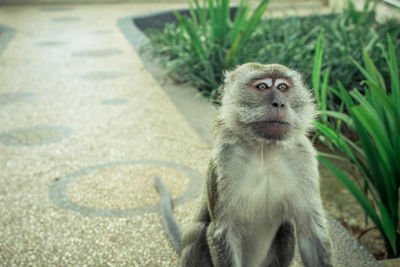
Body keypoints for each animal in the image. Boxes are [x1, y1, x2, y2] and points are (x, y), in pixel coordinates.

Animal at [155, 63, 332, 267]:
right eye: (262, 86)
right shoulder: (224, 161)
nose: (279, 103)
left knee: (286, 227)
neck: (264, 150)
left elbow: (311, 230)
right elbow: (222, 231)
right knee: (199, 231)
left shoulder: (302, 157)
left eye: (282, 87)